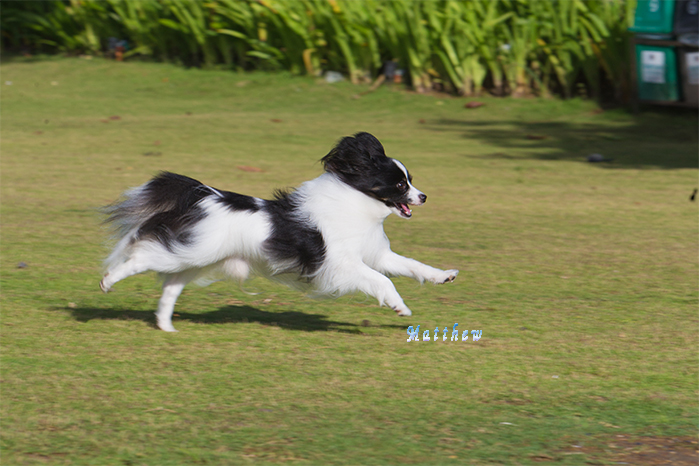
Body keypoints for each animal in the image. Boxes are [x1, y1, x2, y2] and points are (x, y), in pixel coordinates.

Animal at [101, 132, 456, 332]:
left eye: (410, 180)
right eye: (400, 185)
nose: (424, 196)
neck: (356, 201)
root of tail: (204, 195)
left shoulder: (378, 254)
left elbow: (413, 266)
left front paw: (444, 276)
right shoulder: (341, 264)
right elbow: (382, 281)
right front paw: (399, 306)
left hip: (196, 258)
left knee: (171, 287)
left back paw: (165, 325)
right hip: (188, 253)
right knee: (140, 256)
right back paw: (108, 282)